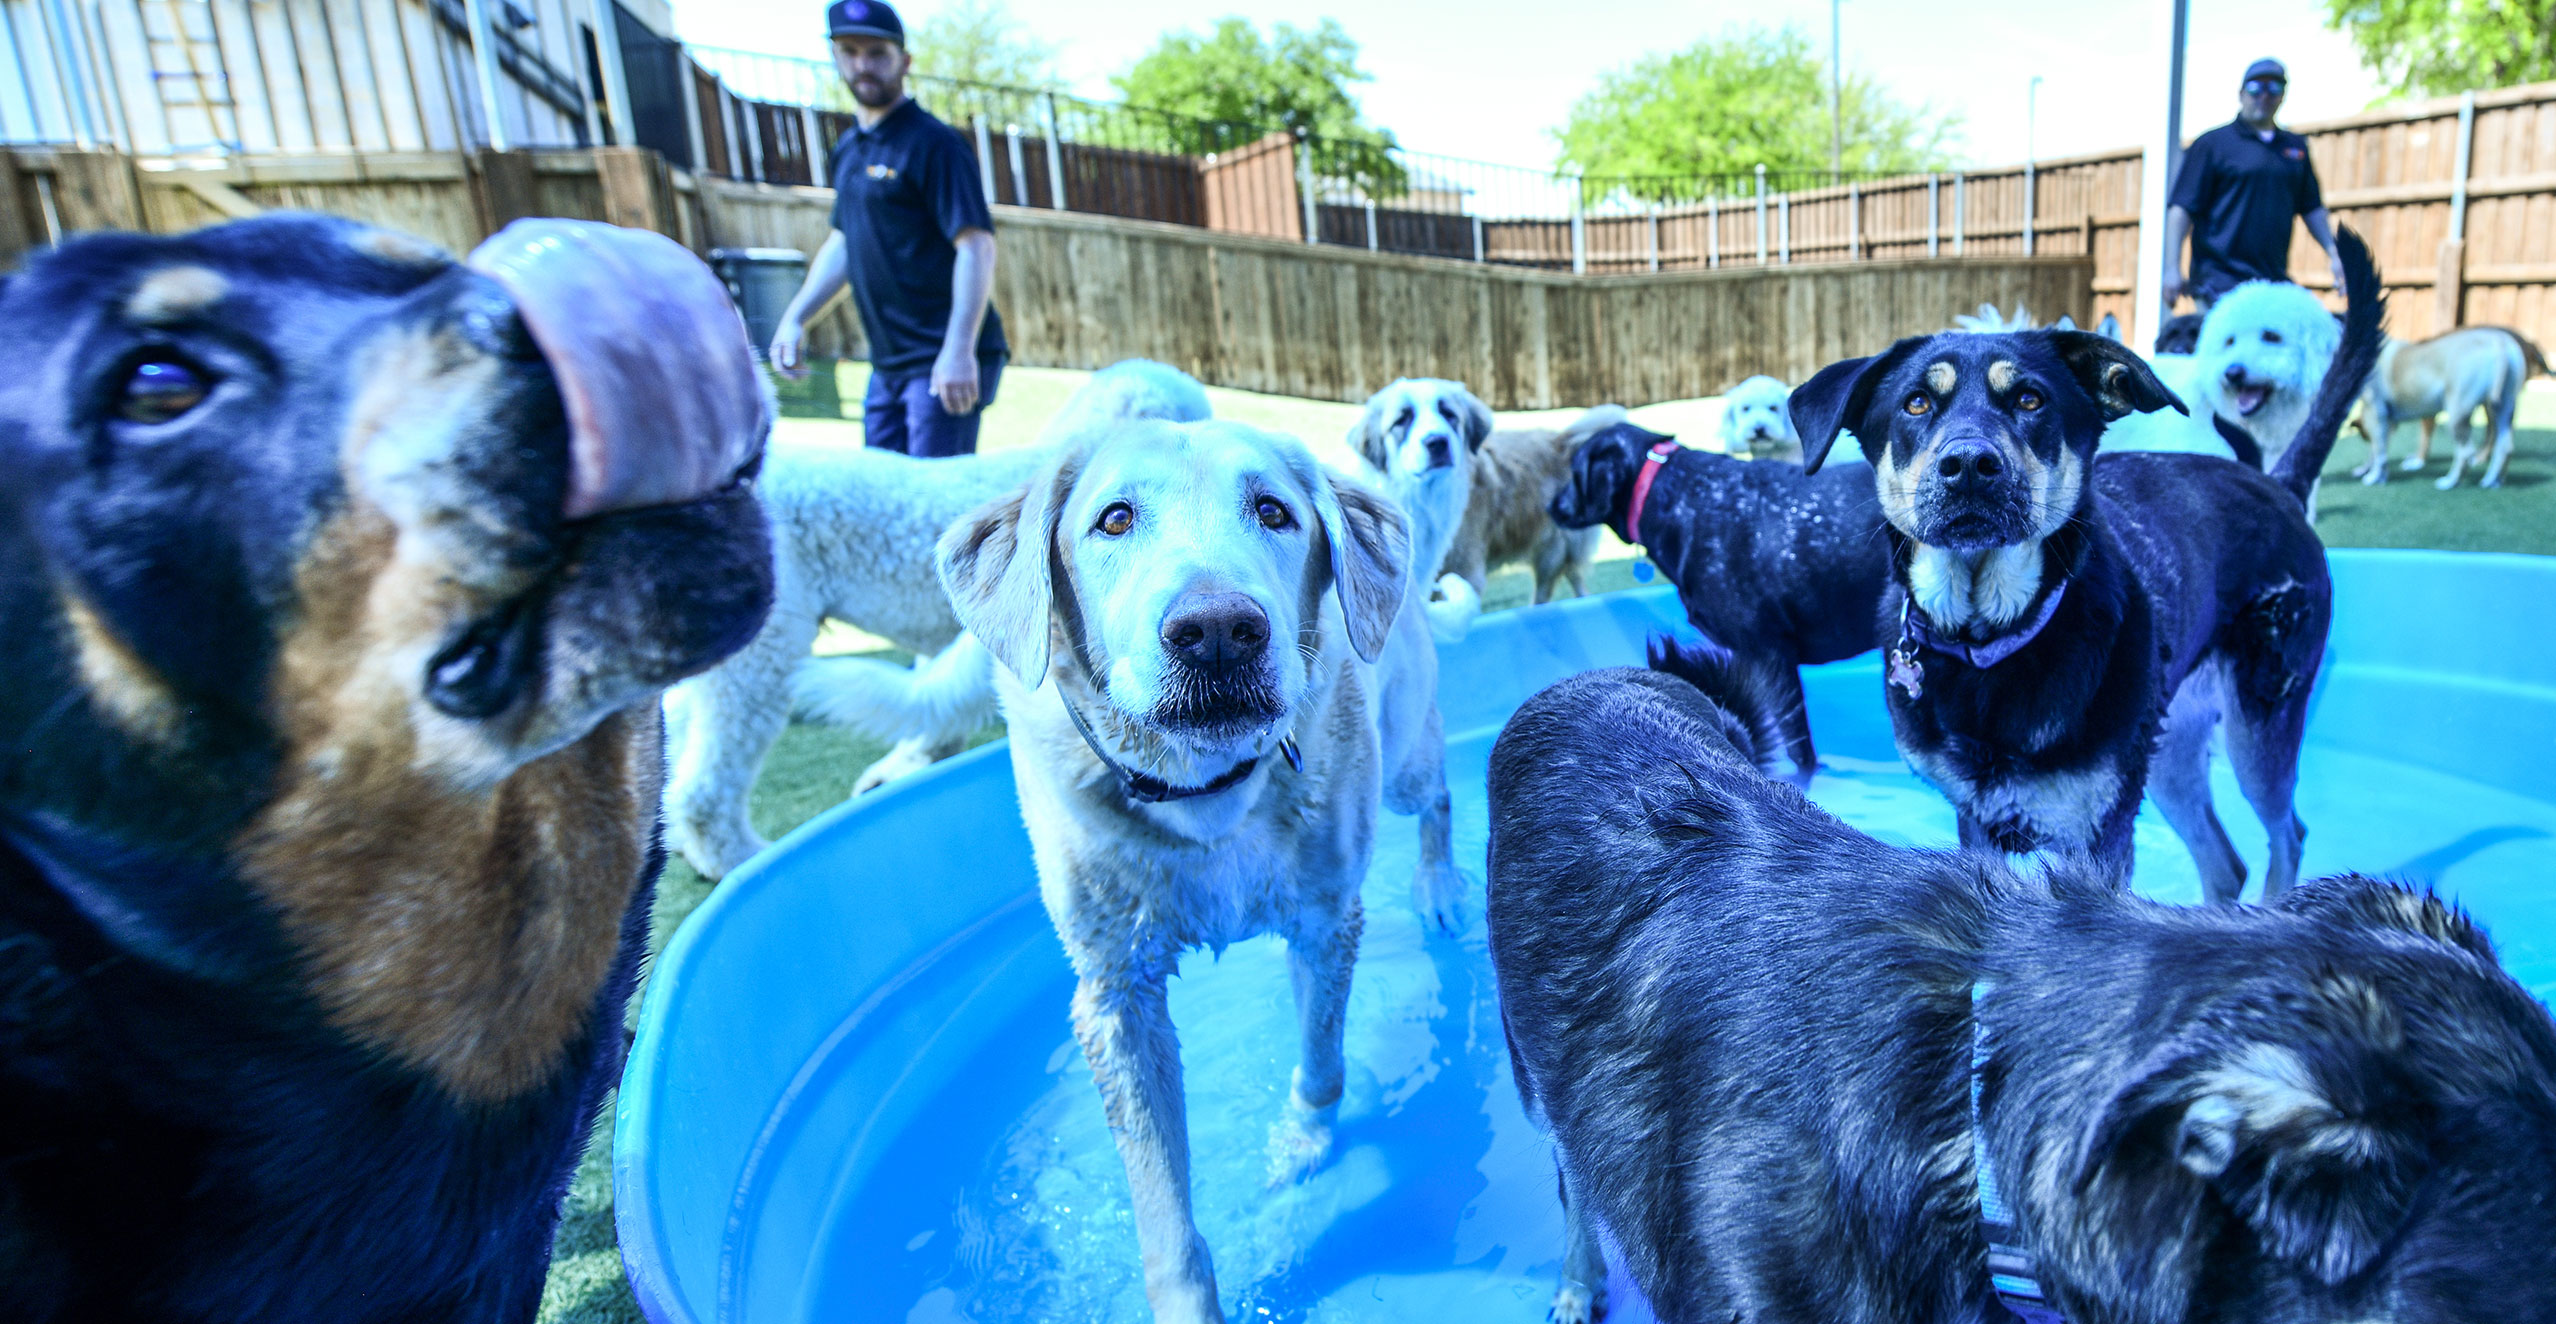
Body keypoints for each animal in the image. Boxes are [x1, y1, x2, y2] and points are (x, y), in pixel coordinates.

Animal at [935, 416, 1429, 1322]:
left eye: (1273, 511)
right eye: (1115, 519)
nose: (1219, 630)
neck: (1206, 793)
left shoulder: (1327, 922)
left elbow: (1323, 1065)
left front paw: (1302, 1144)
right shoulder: (1117, 999)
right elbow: (1165, 1214)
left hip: (1408, 755)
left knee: (1438, 803)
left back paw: (1441, 890)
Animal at [1789, 229, 2382, 900]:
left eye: (2030, 399)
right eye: (1916, 404)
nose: (1969, 466)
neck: (1991, 638)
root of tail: (2278, 484)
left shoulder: (2099, 834)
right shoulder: (1977, 820)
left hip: (2259, 724)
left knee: (2288, 835)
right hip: (2171, 746)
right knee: (2225, 865)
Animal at [2350, 325, 2550, 489]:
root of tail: (2499, 341)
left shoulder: (2376, 415)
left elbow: (2378, 451)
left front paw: (2373, 476)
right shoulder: (2387, 423)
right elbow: (2378, 451)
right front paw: (2374, 472)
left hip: (2457, 414)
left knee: (2465, 453)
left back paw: (2450, 482)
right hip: (2504, 409)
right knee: (2505, 447)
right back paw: (2492, 481)